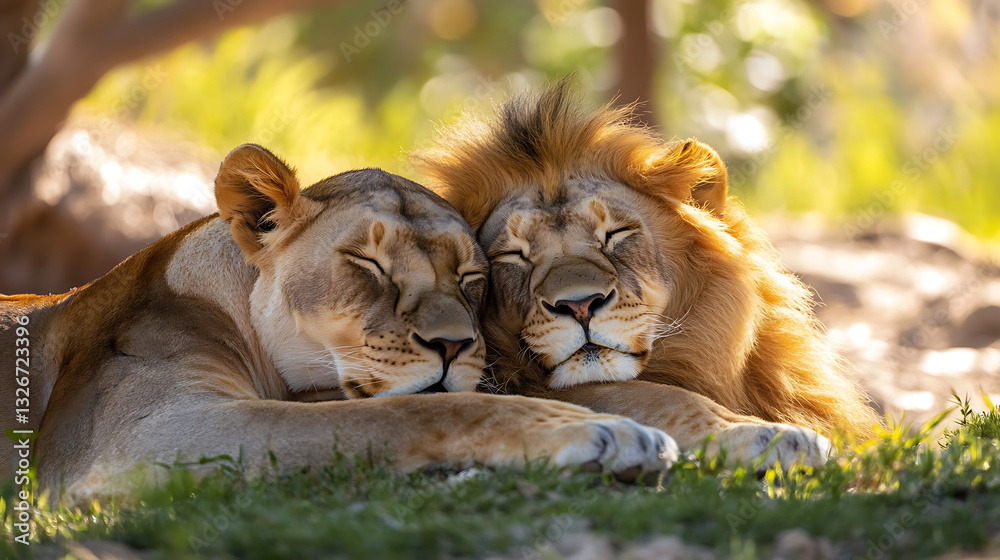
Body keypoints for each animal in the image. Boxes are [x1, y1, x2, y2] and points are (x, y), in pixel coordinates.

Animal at [0, 143, 677, 504]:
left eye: (471, 275)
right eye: (367, 263)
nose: (454, 345)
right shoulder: (140, 438)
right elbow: (404, 413)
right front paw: (599, 433)